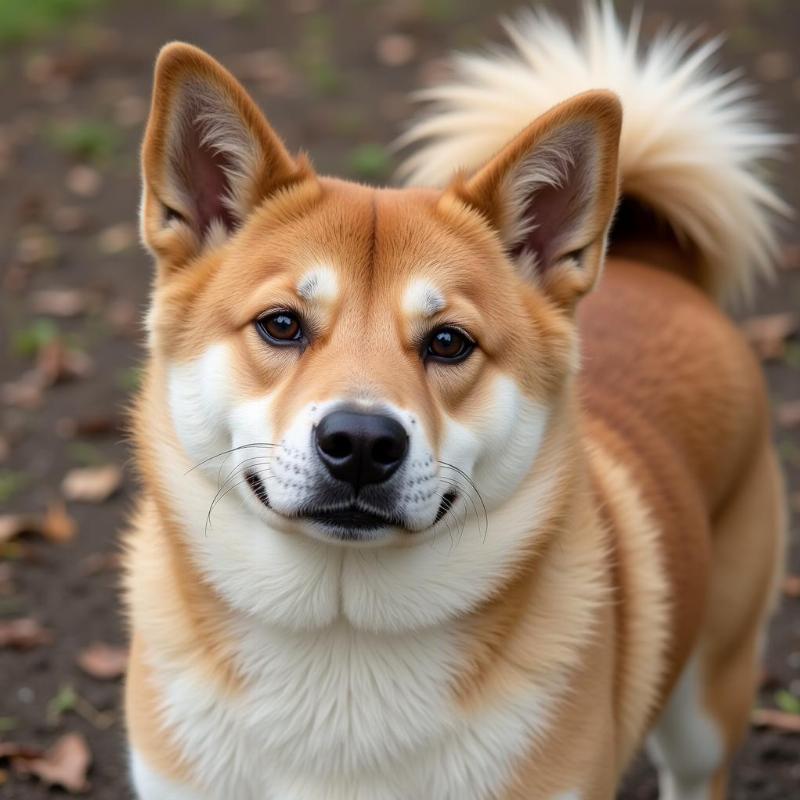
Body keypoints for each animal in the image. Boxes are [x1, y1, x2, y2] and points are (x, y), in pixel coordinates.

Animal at [125, 6, 788, 800]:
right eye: (281, 324)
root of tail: (660, 267)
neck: (344, 646)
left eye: (448, 342)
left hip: (706, 701)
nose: (361, 442)